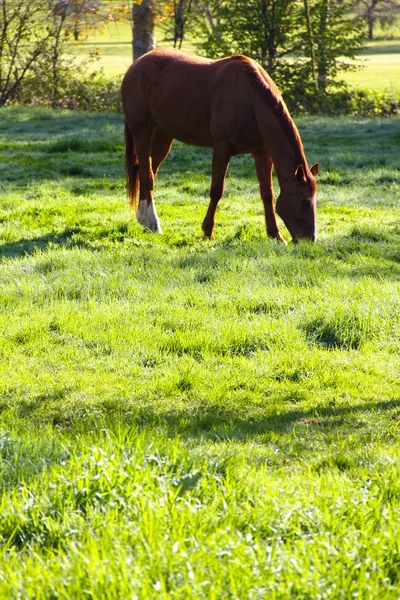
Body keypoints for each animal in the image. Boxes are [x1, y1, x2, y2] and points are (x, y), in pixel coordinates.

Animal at [121, 47, 318, 244]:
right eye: (304, 202)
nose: (310, 239)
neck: (250, 100)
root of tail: (136, 65)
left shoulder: (262, 153)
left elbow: (267, 193)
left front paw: (275, 234)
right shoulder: (222, 148)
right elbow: (216, 189)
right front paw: (208, 231)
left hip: (163, 136)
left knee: (147, 172)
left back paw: (144, 220)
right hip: (143, 133)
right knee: (147, 175)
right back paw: (154, 223)